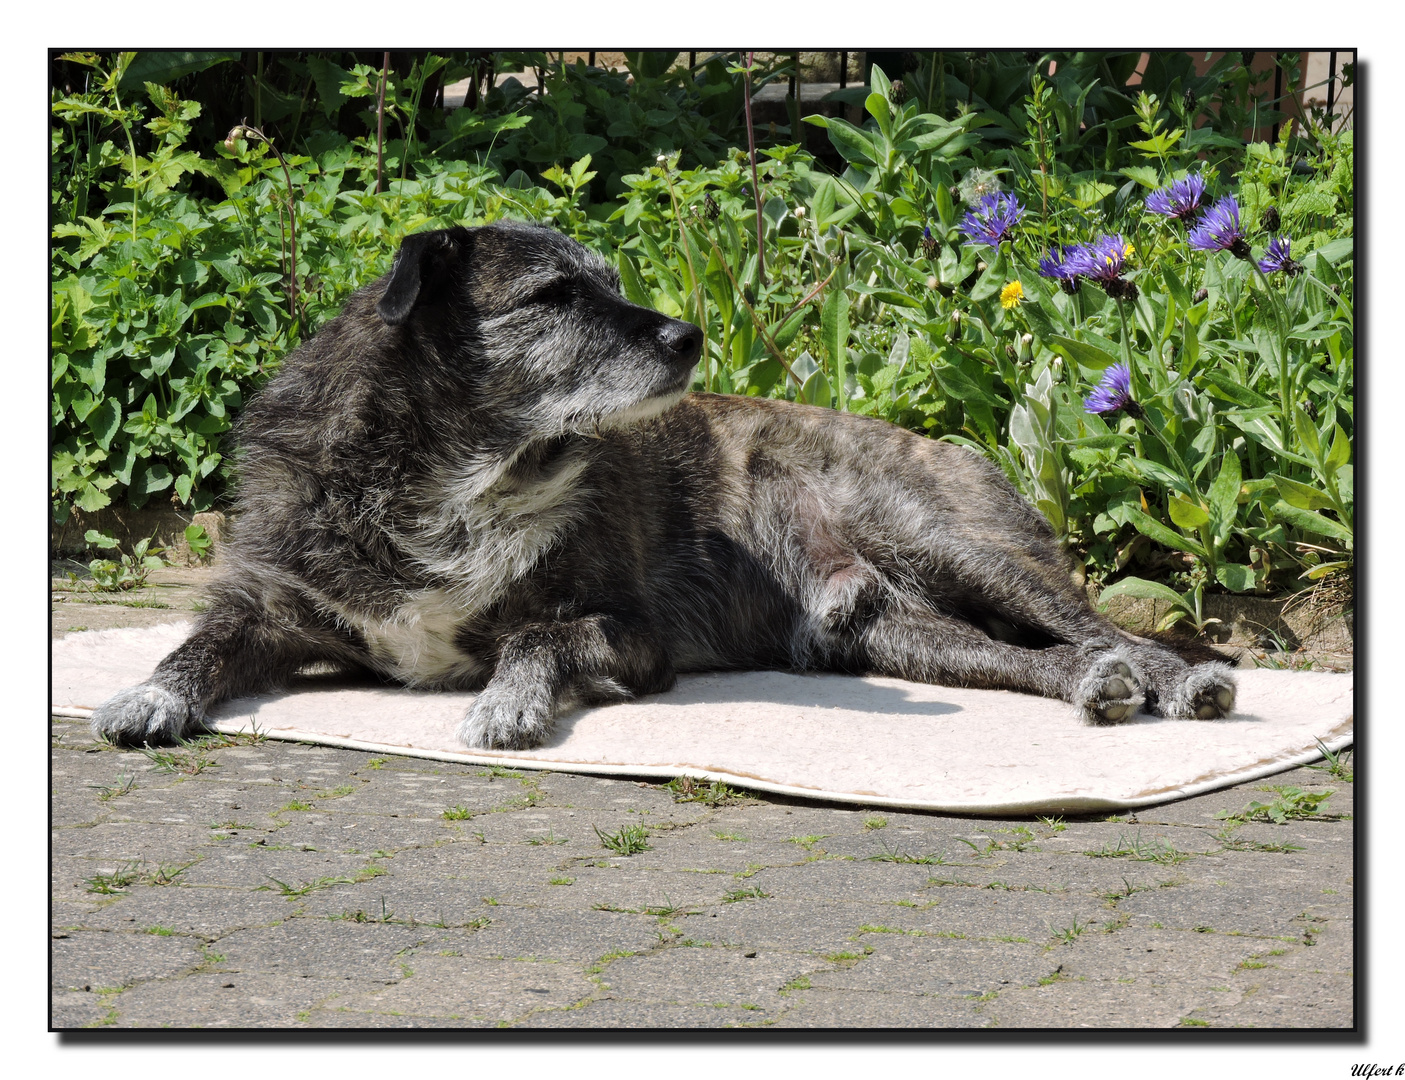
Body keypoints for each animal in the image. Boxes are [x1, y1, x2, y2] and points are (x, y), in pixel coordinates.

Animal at [87, 219, 1236, 752]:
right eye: (554, 294)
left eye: (610, 279)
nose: (689, 335)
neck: (451, 483)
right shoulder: (273, 609)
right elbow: (199, 640)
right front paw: (148, 695)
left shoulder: (633, 639)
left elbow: (536, 633)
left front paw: (510, 703)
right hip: (889, 636)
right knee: (1031, 660)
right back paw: (1092, 690)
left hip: (955, 545)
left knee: (1099, 627)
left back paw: (1177, 680)